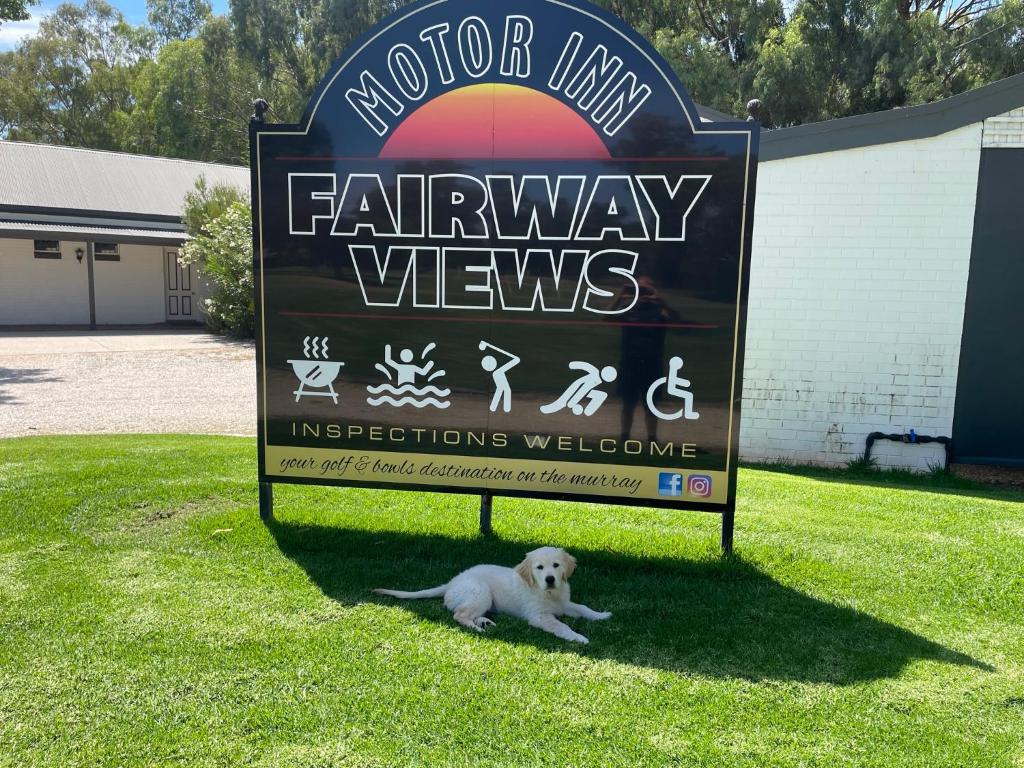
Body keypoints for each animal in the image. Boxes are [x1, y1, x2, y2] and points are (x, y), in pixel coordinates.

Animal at [374, 544, 606, 647]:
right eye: (539, 568)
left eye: (556, 566)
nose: (550, 578)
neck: (548, 593)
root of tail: (452, 582)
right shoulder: (539, 616)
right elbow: (561, 626)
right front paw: (578, 637)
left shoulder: (564, 603)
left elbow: (582, 608)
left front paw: (601, 615)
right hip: (480, 592)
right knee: (459, 614)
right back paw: (477, 628)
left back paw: (484, 622)